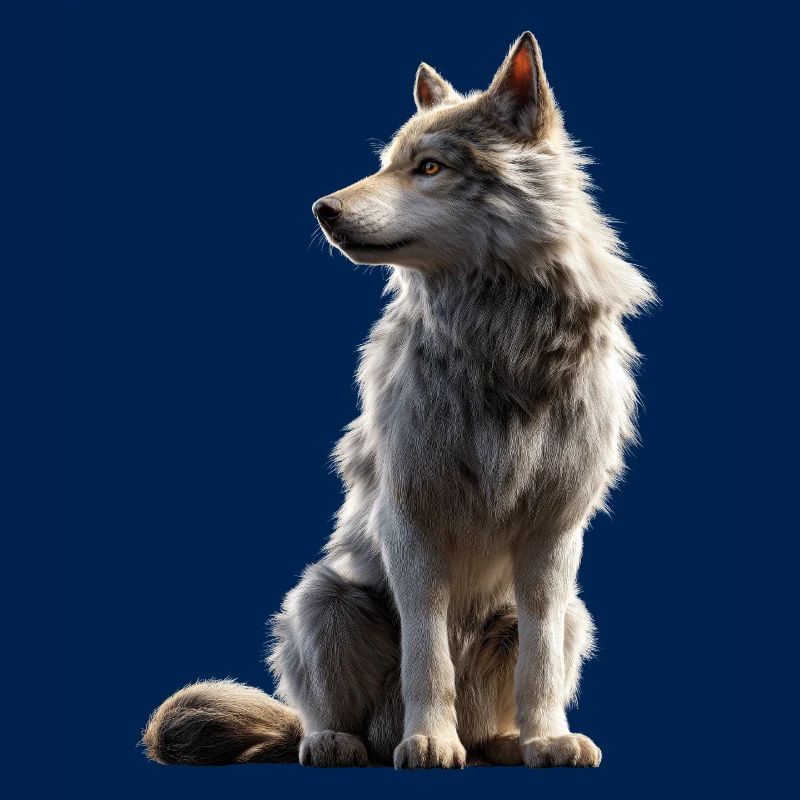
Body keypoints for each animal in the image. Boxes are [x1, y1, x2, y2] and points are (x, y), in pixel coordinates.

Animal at [143, 31, 654, 769]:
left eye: (430, 167)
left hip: (574, 614)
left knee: (519, 683)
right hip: (322, 600)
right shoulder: (410, 521)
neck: (499, 339)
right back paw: (342, 741)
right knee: (325, 714)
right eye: (385, 165)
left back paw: (504, 742)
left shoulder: (554, 534)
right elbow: (427, 655)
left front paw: (549, 739)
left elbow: (540, 665)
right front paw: (430, 741)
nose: (321, 210)